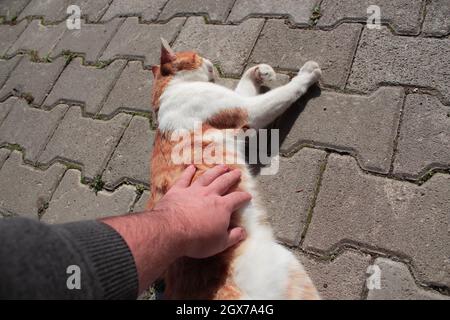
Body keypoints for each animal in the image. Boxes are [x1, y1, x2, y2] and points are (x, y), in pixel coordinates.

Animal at [147, 38, 320, 298]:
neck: (168, 94)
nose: (210, 61)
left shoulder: (240, 104)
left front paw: (259, 72)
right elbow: (285, 91)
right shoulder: (249, 110)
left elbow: (244, 84)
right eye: (196, 55)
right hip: (289, 264)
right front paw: (307, 74)